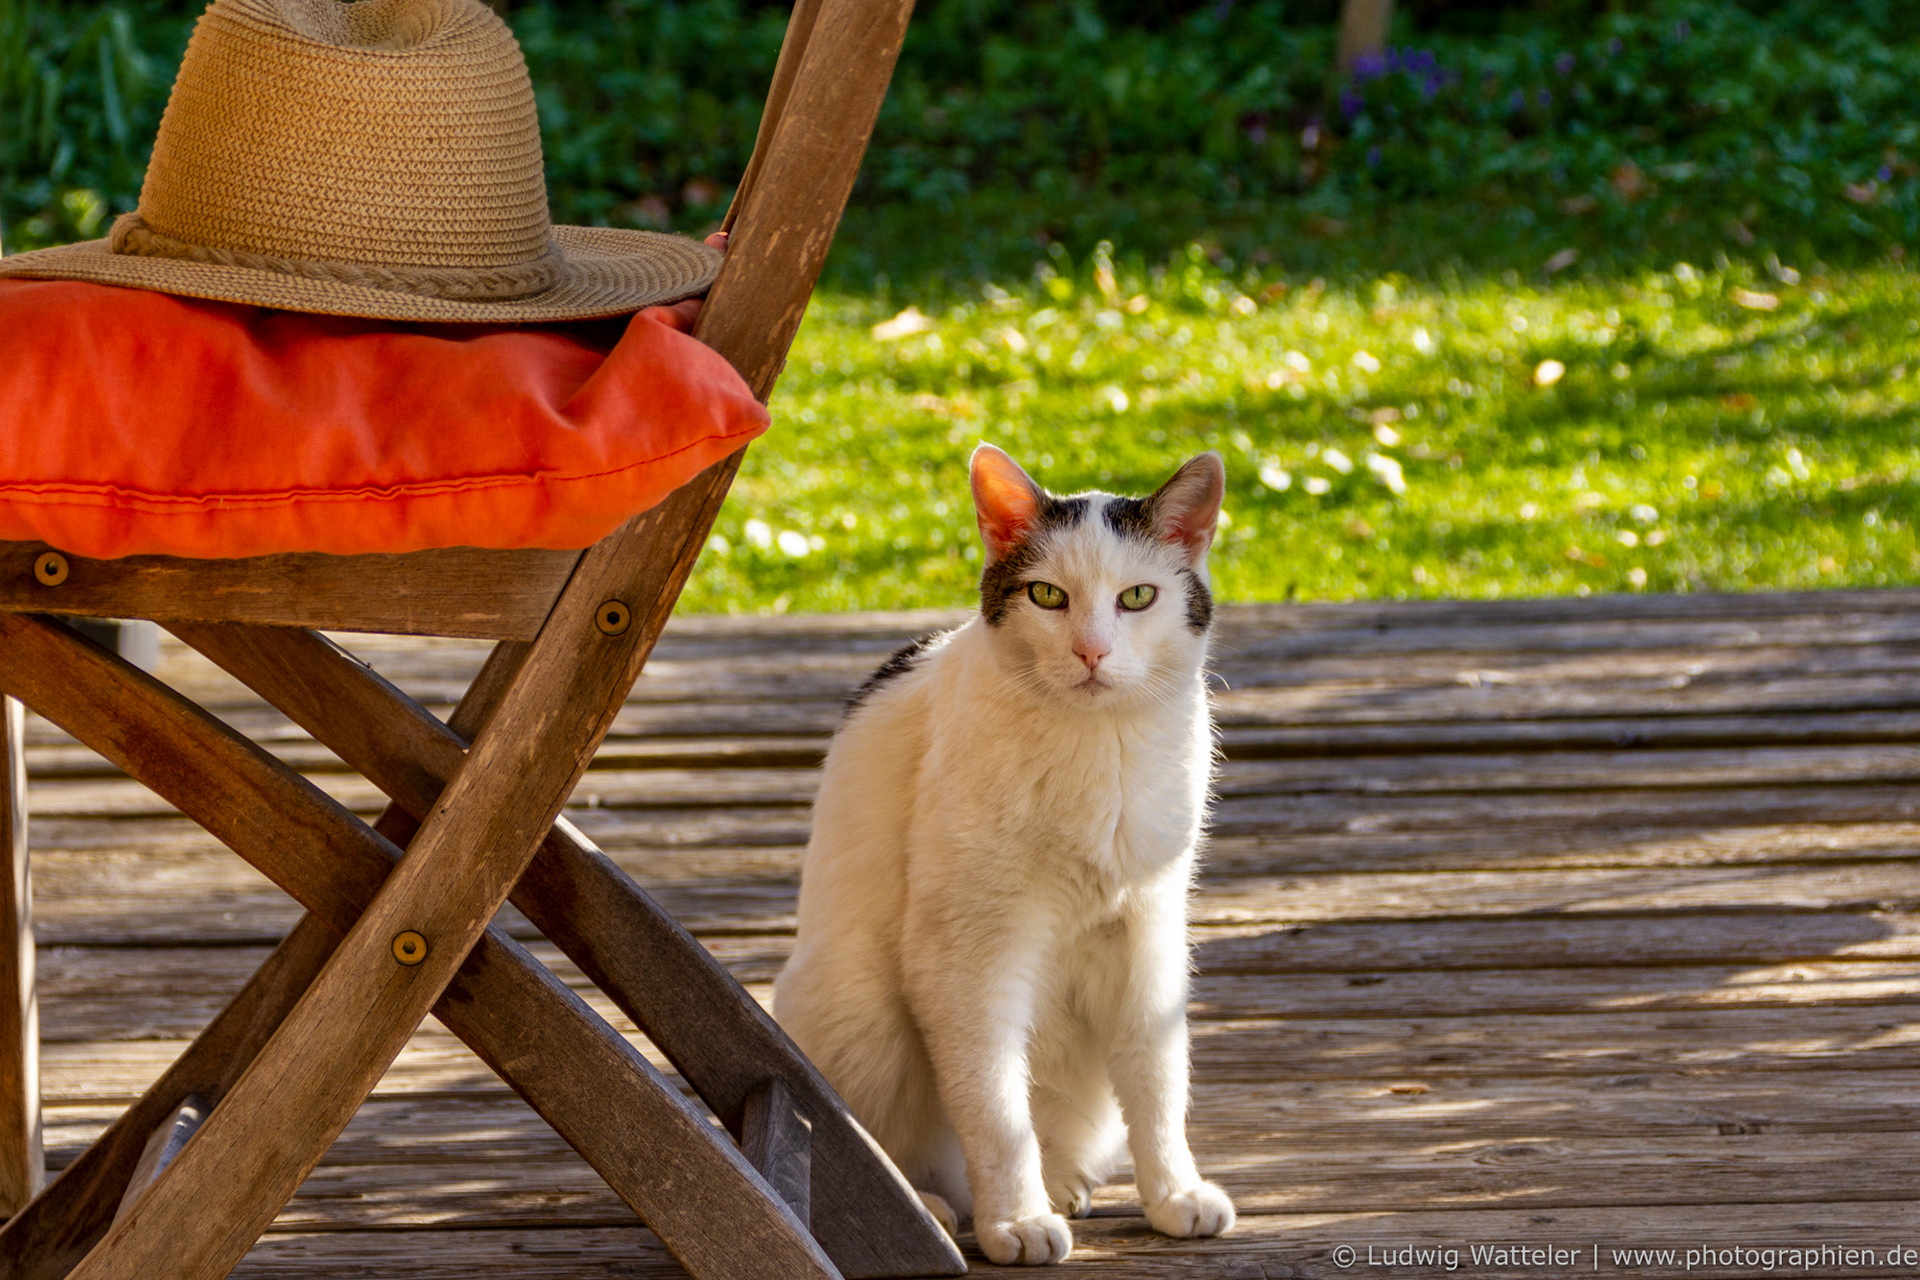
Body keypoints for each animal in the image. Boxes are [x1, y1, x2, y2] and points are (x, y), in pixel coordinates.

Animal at [773, 444, 1236, 1266]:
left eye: (1138, 597)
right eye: (1047, 595)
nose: (1091, 651)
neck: (1097, 749)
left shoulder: (1149, 933)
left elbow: (1158, 1079)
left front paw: (1174, 1194)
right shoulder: (964, 950)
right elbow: (991, 1100)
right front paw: (1015, 1220)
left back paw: (1061, 1183)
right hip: (861, 999)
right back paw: (932, 1205)